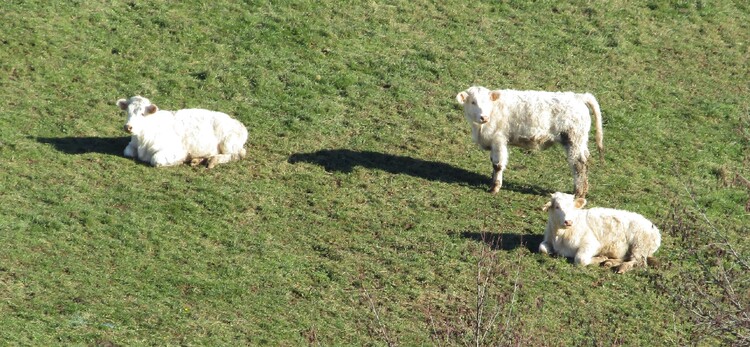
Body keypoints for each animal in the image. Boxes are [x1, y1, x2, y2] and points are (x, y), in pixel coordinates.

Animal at [116, 96, 248, 169]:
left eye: (143, 113)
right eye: (127, 111)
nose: (128, 127)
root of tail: (238, 123)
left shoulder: (176, 150)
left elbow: (156, 159)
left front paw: (180, 161)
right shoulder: (131, 145)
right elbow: (127, 152)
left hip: (228, 143)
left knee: (236, 154)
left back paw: (212, 160)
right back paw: (198, 160)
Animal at [452, 86, 604, 198]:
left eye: (487, 102)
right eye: (473, 102)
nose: (484, 117)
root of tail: (578, 96)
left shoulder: (499, 140)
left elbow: (498, 165)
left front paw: (495, 188)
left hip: (574, 140)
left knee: (578, 165)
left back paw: (578, 193)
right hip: (581, 141)